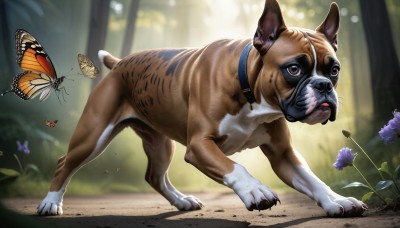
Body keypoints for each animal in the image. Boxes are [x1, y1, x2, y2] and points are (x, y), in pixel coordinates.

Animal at [37, 0, 366, 217]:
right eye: (294, 69)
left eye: (334, 70)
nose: (324, 86)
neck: (249, 90)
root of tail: (119, 64)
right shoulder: (199, 145)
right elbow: (235, 167)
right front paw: (256, 191)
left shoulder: (283, 155)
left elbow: (312, 180)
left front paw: (337, 200)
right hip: (93, 136)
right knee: (64, 163)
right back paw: (51, 203)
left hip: (160, 143)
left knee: (154, 176)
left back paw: (182, 201)